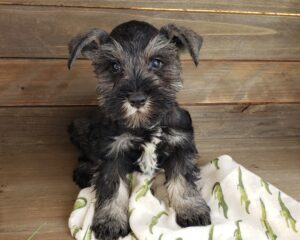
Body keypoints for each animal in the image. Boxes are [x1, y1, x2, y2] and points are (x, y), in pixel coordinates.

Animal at [67, 20, 210, 240]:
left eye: (157, 63)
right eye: (114, 66)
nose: (137, 100)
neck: (145, 125)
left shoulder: (181, 146)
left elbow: (183, 181)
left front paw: (192, 209)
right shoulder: (112, 154)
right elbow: (113, 189)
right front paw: (110, 221)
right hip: (83, 127)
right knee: (87, 154)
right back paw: (84, 172)